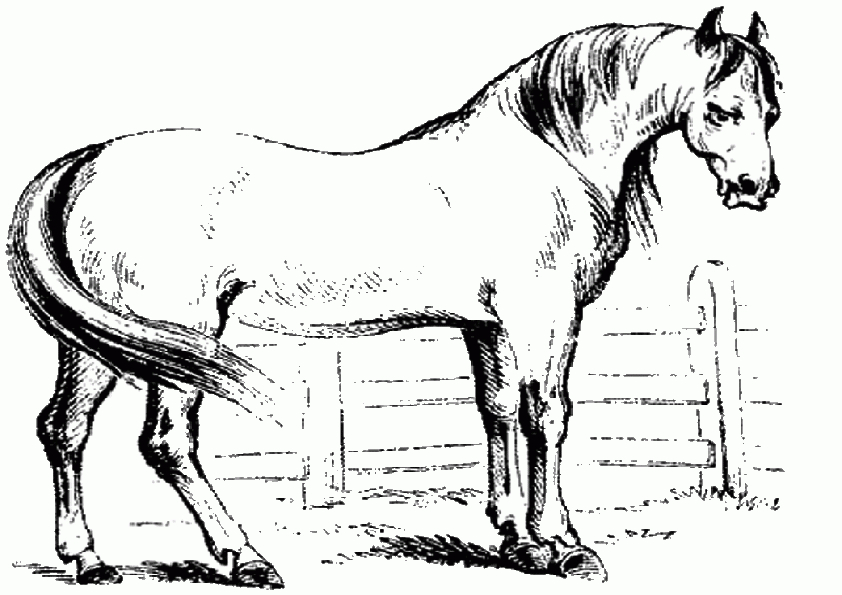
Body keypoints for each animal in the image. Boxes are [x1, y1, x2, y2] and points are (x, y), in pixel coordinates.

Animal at [7, 7, 781, 587]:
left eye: (770, 109)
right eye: (722, 109)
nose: (756, 188)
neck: (544, 155)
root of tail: (88, 162)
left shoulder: (487, 325)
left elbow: (497, 411)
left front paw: (515, 539)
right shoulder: (543, 315)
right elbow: (547, 415)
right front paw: (563, 544)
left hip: (101, 340)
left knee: (64, 428)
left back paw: (88, 559)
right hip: (177, 334)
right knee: (167, 441)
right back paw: (245, 557)